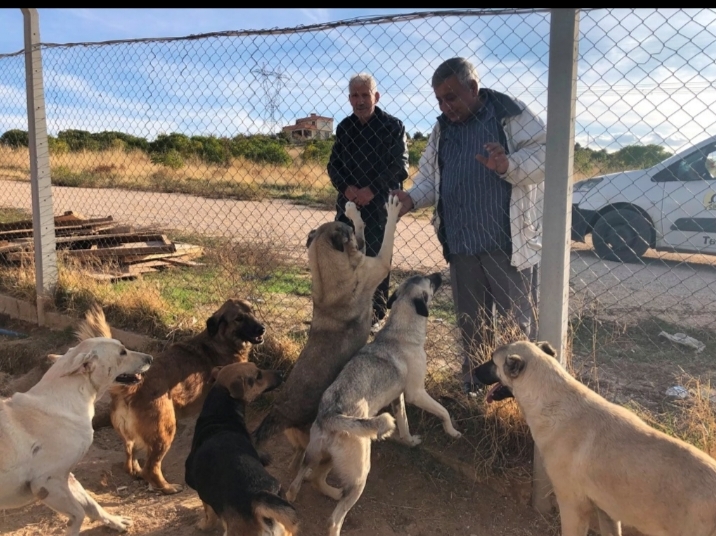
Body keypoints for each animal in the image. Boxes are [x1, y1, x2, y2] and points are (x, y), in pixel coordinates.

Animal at [0, 337, 153, 536]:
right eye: (122, 352)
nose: (150, 358)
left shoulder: (67, 477)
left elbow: (92, 504)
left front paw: (115, 521)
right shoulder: (47, 483)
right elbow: (79, 513)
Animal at [76, 299, 266, 494]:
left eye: (253, 312)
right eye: (239, 318)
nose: (262, 329)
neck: (220, 341)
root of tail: (132, 388)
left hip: (131, 435)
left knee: (129, 461)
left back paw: (137, 472)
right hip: (165, 430)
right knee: (151, 468)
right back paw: (167, 487)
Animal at [185, 362, 297, 536]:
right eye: (258, 375)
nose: (281, 373)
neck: (220, 415)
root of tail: (257, 498)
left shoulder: (201, 491)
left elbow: (209, 515)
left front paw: (203, 525)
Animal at [253, 196, 402, 470]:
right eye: (344, 230)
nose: (345, 217)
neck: (324, 273)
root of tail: (278, 412)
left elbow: (363, 234)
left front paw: (353, 211)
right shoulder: (378, 262)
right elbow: (385, 234)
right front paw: (392, 209)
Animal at [287, 273, 461, 536]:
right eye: (430, 281)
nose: (440, 274)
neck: (400, 331)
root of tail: (330, 416)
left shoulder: (399, 398)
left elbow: (404, 423)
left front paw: (410, 441)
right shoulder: (416, 393)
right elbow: (444, 411)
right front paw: (452, 431)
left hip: (320, 457)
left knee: (306, 481)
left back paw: (331, 492)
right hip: (360, 473)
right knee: (334, 518)